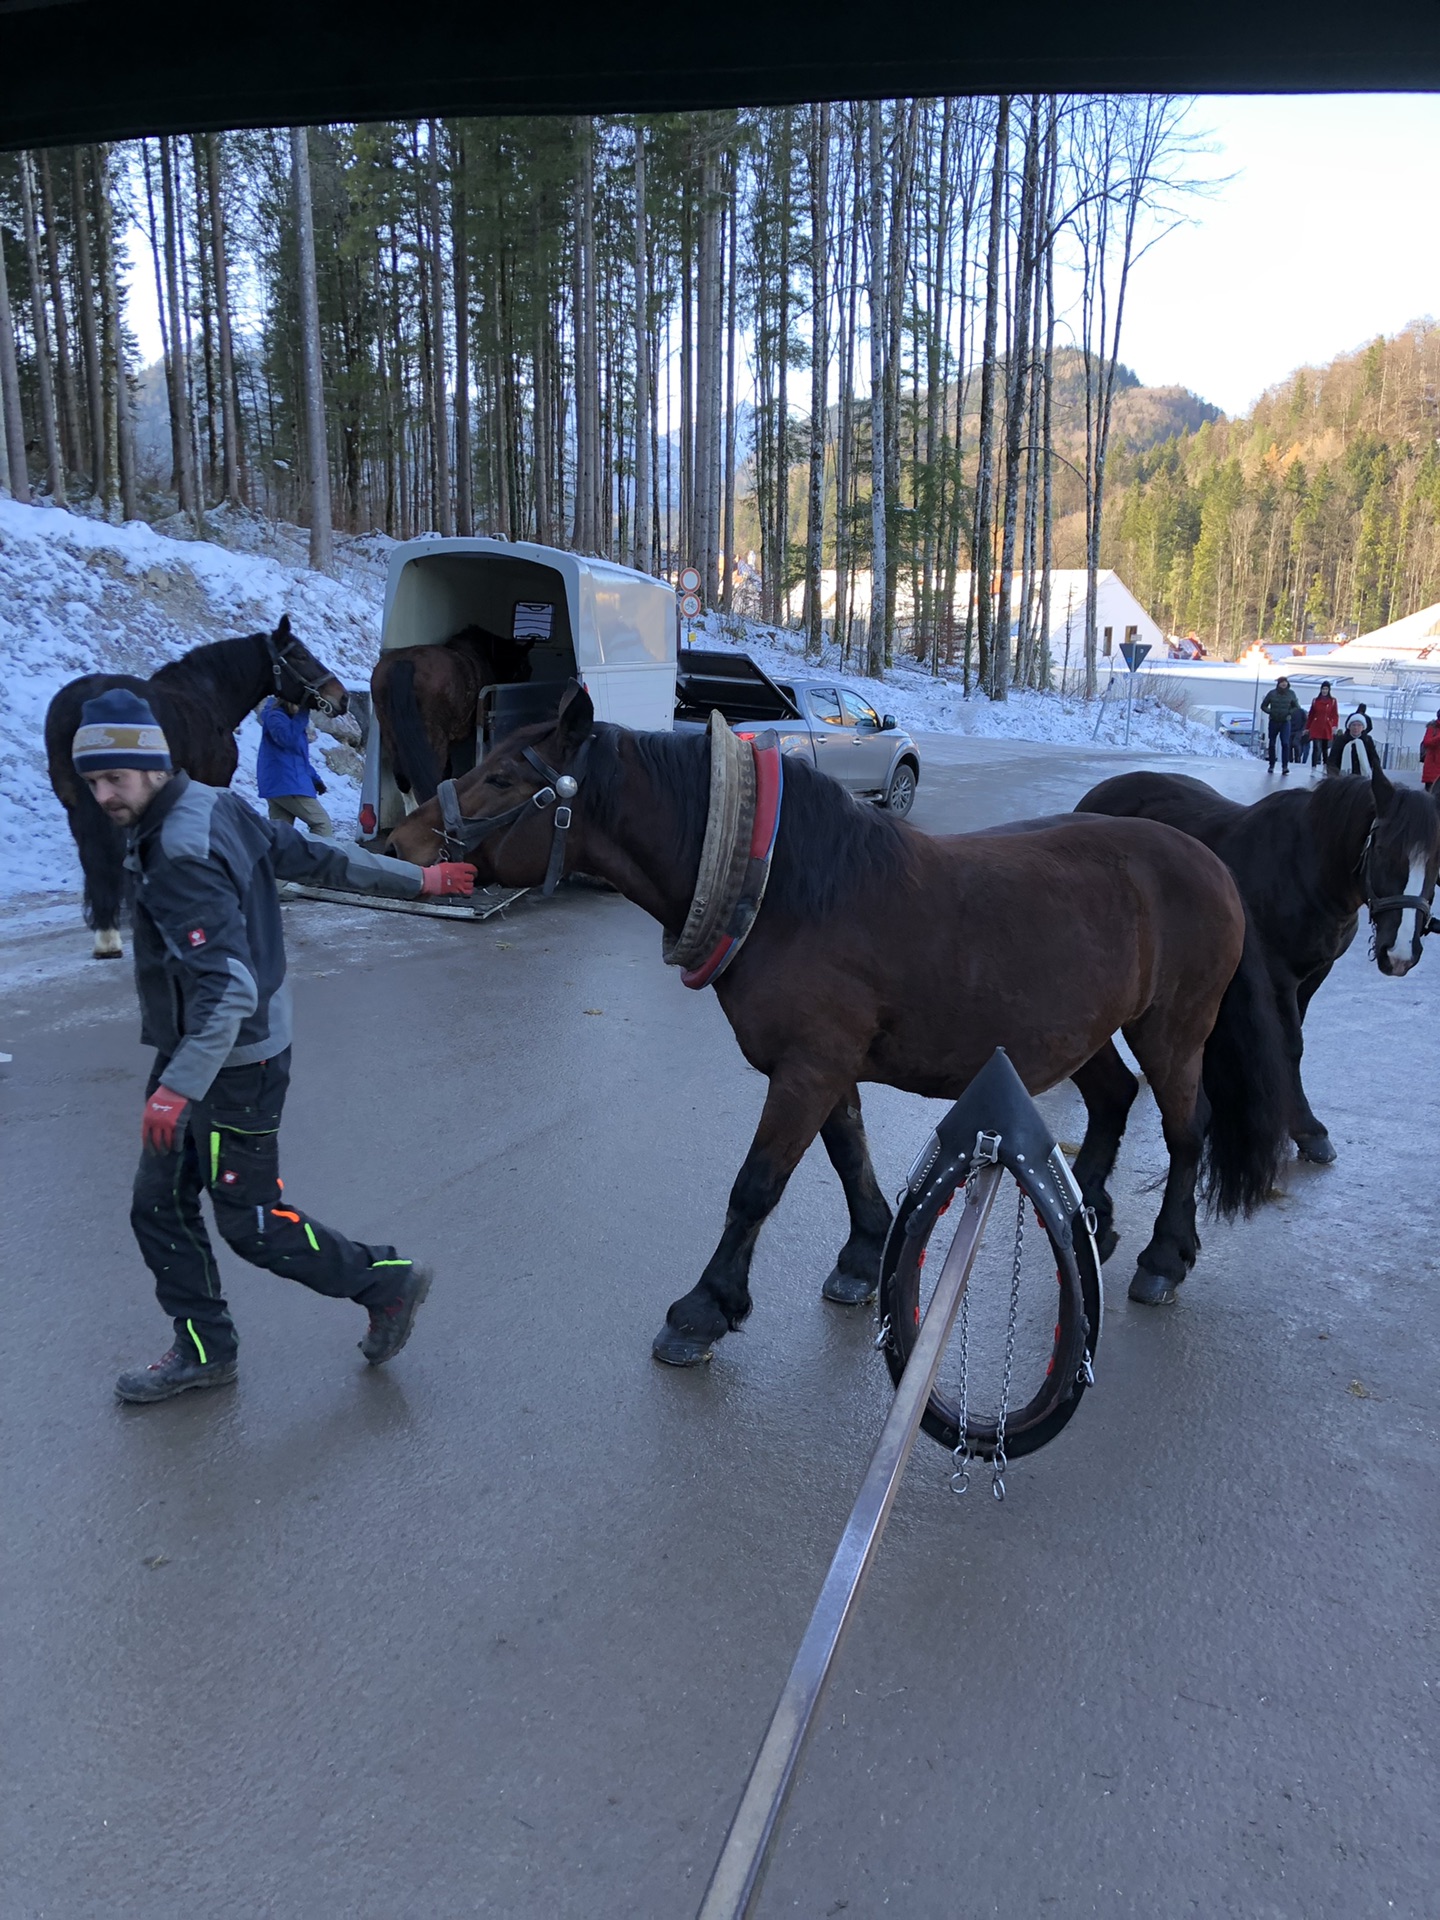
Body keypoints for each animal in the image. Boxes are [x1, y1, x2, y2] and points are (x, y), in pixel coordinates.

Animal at [389, 691, 1290, 1351]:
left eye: (502, 780)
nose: (398, 838)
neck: (780, 887)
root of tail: (1208, 861)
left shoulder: (810, 1066)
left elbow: (758, 1185)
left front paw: (706, 1306)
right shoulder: (825, 1068)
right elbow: (848, 1154)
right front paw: (863, 1258)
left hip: (1174, 1030)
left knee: (1186, 1131)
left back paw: (1165, 1256)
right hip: (1081, 1030)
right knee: (1110, 1100)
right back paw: (1087, 1222)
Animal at [1082, 744, 1440, 1167]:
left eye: (1437, 860)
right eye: (1383, 849)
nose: (1400, 953)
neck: (1307, 869)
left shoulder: (1315, 974)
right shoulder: (1278, 974)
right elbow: (1290, 1045)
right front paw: (1307, 1129)